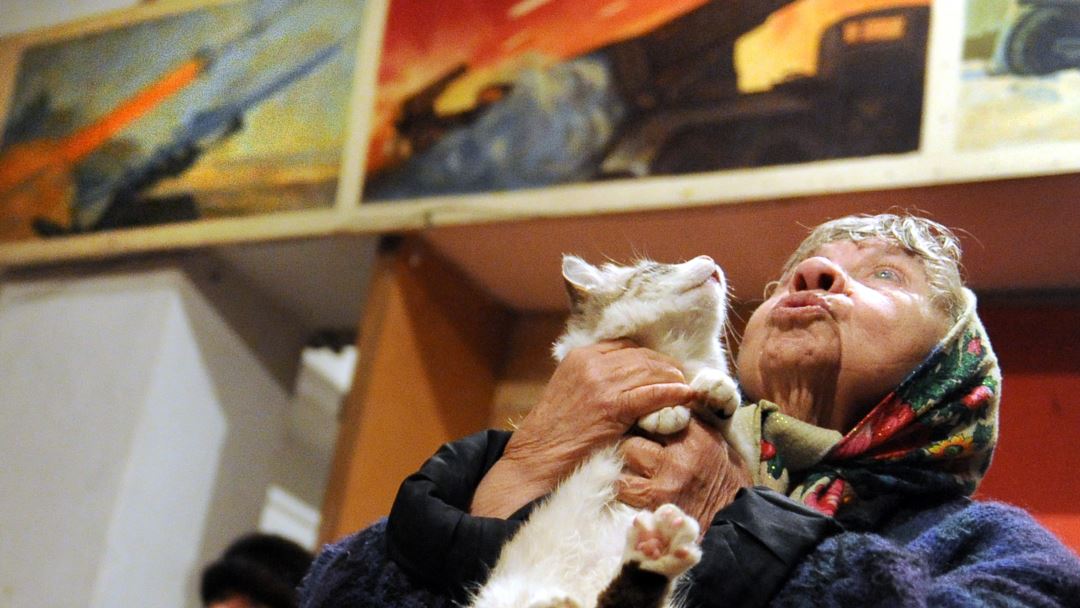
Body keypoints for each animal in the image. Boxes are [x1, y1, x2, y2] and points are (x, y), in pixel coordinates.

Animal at [468, 255, 752, 608]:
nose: (709, 259)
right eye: (655, 268)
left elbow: (724, 411)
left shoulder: (741, 452)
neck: (676, 355)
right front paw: (665, 409)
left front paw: (714, 390)